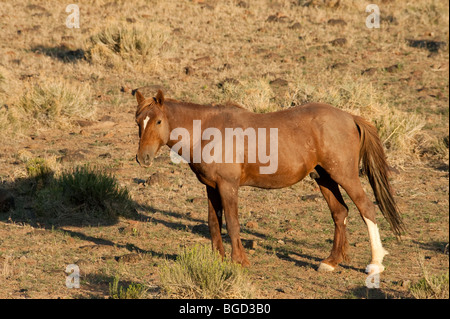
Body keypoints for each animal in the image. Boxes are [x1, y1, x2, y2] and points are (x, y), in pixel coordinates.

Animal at [131, 88, 404, 276]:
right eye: (138, 121)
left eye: (158, 121)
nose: (143, 158)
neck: (207, 131)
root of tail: (350, 117)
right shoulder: (211, 187)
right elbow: (213, 223)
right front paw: (217, 259)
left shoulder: (228, 187)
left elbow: (232, 224)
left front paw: (240, 261)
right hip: (324, 178)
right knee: (340, 212)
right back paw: (331, 262)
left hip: (344, 176)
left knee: (365, 208)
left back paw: (375, 263)